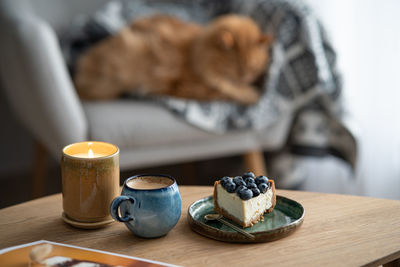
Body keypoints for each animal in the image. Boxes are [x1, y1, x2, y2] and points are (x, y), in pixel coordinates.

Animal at [75, 14, 274, 104]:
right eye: (236, 68)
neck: (195, 51)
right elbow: (227, 91)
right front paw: (251, 94)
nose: (246, 77)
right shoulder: (195, 88)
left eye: (254, 68)